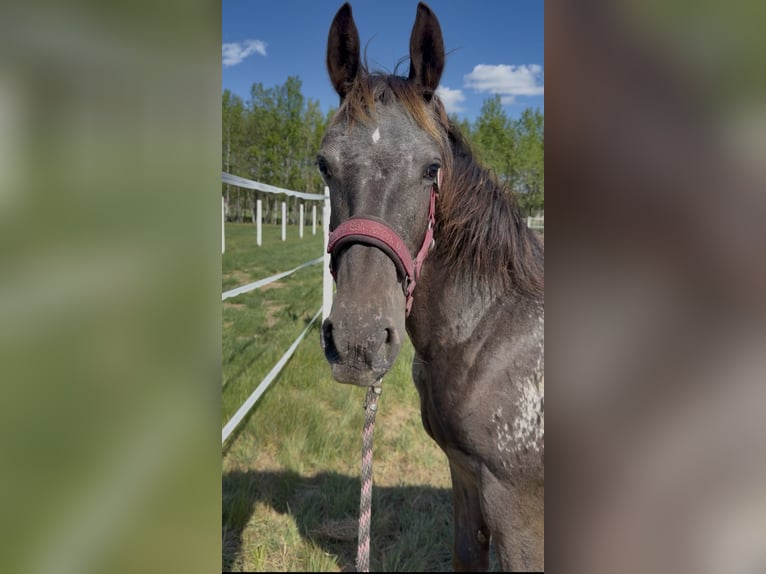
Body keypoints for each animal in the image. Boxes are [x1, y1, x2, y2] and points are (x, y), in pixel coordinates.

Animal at [318, 3, 544, 571]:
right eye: (323, 164)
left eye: (431, 169)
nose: (357, 341)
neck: (488, 332)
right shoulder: (464, 477)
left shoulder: (519, 511)